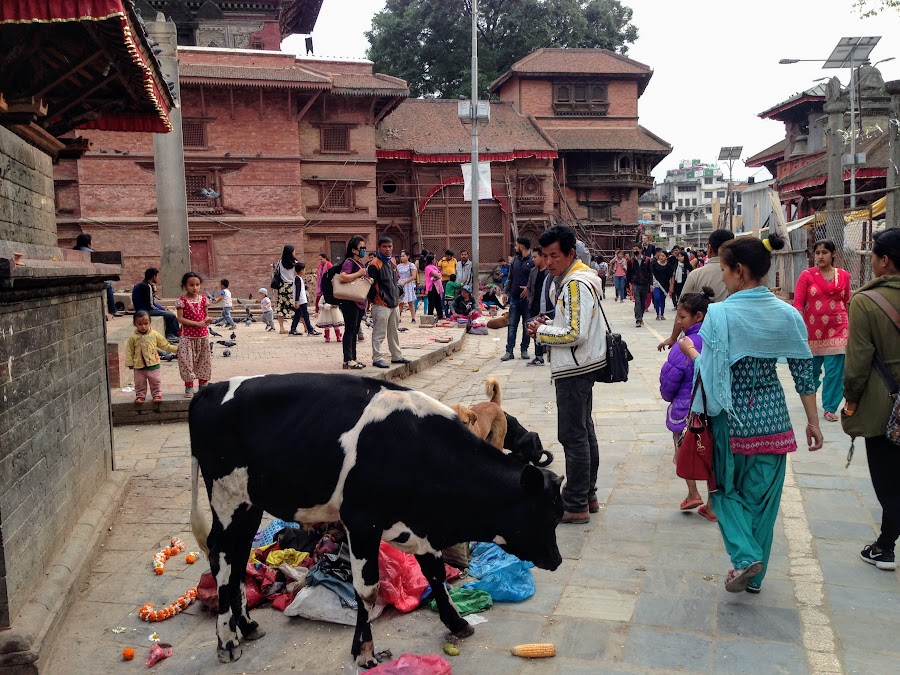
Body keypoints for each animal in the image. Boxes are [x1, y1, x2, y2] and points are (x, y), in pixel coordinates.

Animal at [190, 372, 564, 668]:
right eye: (546, 515)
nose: (557, 560)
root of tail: (208, 390)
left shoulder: (419, 528)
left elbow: (436, 575)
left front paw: (457, 624)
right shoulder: (362, 523)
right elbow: (367, 590)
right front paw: (365, 651)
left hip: (249, 503)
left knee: (238, 558)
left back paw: (247, 626)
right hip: (226, 497)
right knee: (220, 556)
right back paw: (227, 640)